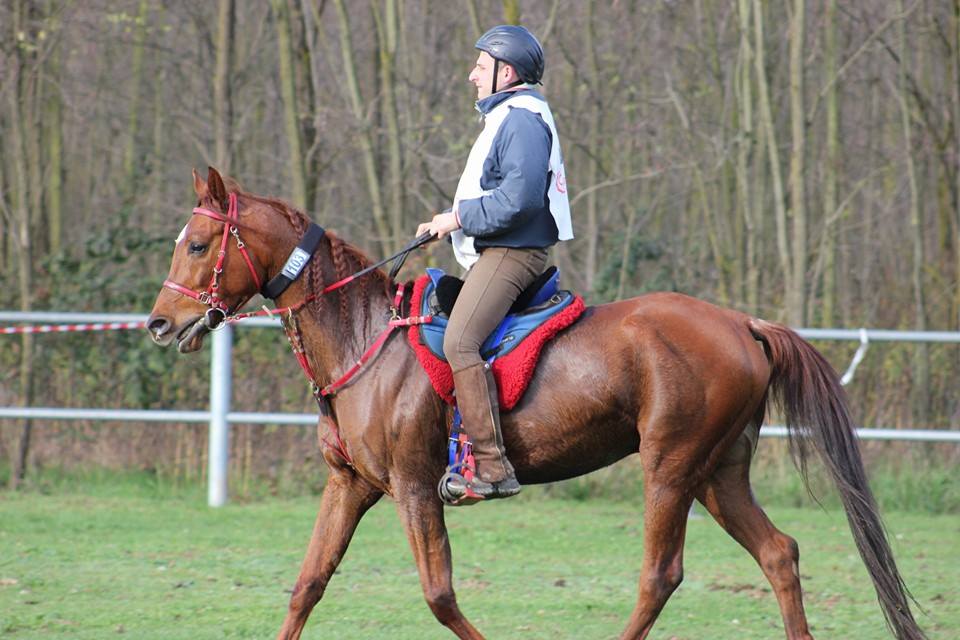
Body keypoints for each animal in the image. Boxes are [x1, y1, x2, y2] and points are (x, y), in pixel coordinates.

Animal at [146, 168, 923, 640]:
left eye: (199, 243)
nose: (158, 323)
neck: (364, 336)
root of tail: (743, 324)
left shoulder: (412, 487)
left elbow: (440, 595)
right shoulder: (351, 485)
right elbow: (307, 585)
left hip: (672, 469)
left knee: (661, 575)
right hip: (718, 473)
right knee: (779, 555)